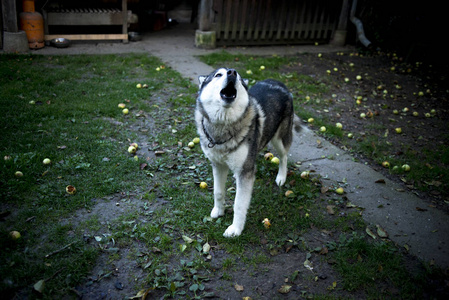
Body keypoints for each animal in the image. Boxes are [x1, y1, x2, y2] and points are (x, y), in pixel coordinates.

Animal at [193, 67, 294, 237]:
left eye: (239, 78)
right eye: (218, 75)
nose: (232, 72)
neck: (223, 127)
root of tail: (278, 82)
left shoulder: (245, 172)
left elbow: (239, 204)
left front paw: (236, 229)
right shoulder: (218, 165)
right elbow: (218, 192)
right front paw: (218, 211)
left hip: (278, 138)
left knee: (284, 156)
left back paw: (281, 177)